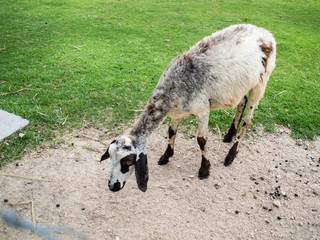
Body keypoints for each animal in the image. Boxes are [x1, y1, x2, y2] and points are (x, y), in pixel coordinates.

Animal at [101, 23, 276, 193]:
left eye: (127, 162)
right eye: (110, 157)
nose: (112, 186)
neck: (173, 87)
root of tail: (266, 33)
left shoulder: (202, 110)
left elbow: (201, 140)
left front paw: (205, 170)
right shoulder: (181, 111)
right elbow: (171, 130)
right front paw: (166, 156)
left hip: (260, 83)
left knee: (248, 120)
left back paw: (230, 155)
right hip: (237, 87)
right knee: (241, 102)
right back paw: (229, 135)